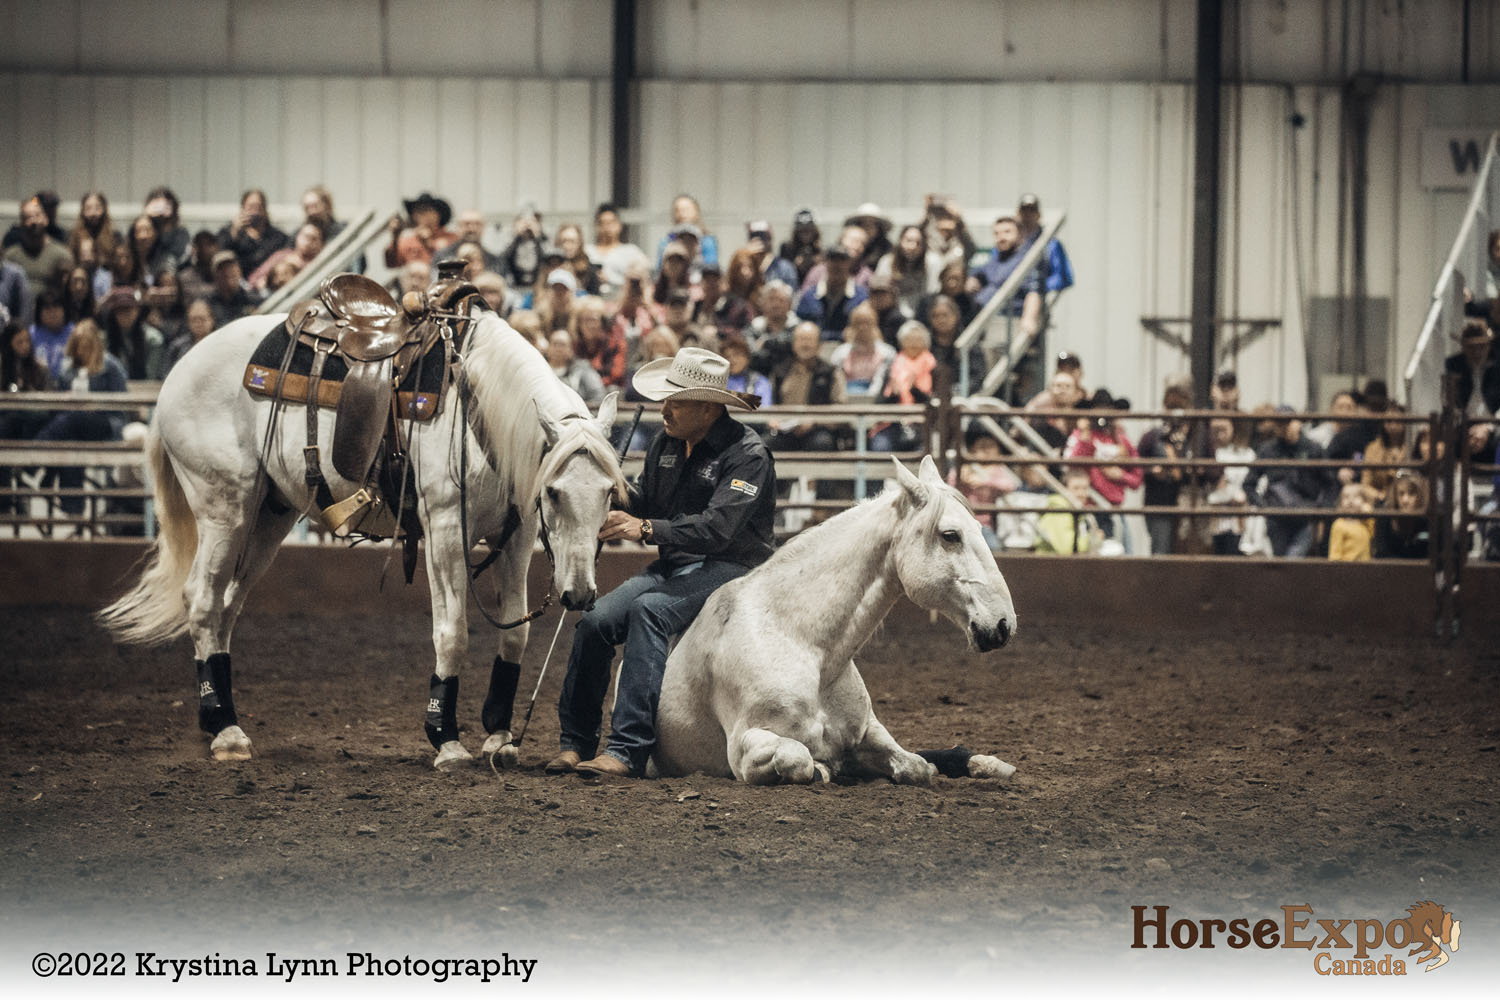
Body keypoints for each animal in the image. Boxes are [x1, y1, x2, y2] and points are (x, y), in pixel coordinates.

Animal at [98, 304, 626, 770]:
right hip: (225, 509)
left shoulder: (515, 538)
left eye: (608, 492)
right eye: (554, 491)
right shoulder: (444, 531)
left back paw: (222, 722)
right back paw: (225, 730)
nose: (580, 595)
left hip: (268, 517)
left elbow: (516, 634)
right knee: (203, 601)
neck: (481, 412)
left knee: (227, 607)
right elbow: (452, 633)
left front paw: (499, 737)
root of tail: (177, 374)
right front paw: (446, 739)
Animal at [653, 455, 1018, 785]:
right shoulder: (745, 749)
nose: (1004, 624)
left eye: (979, 528)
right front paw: (824, 768)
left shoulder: (867, 730)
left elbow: (915, 766)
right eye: (950, 535)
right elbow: (798, 758)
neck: (802, 644)